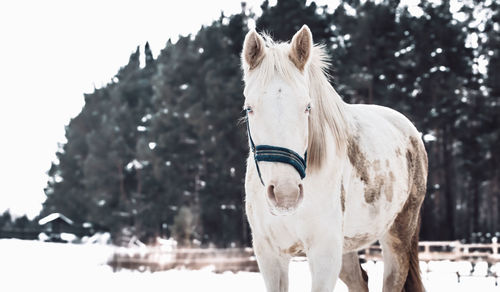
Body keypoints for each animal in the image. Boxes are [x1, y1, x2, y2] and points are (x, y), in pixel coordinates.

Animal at [240, 25, 428, 292]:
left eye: (307, 107)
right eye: (249, 108)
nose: (286, 195)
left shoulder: (324, 253)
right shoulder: (270, 255)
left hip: (398, 235)